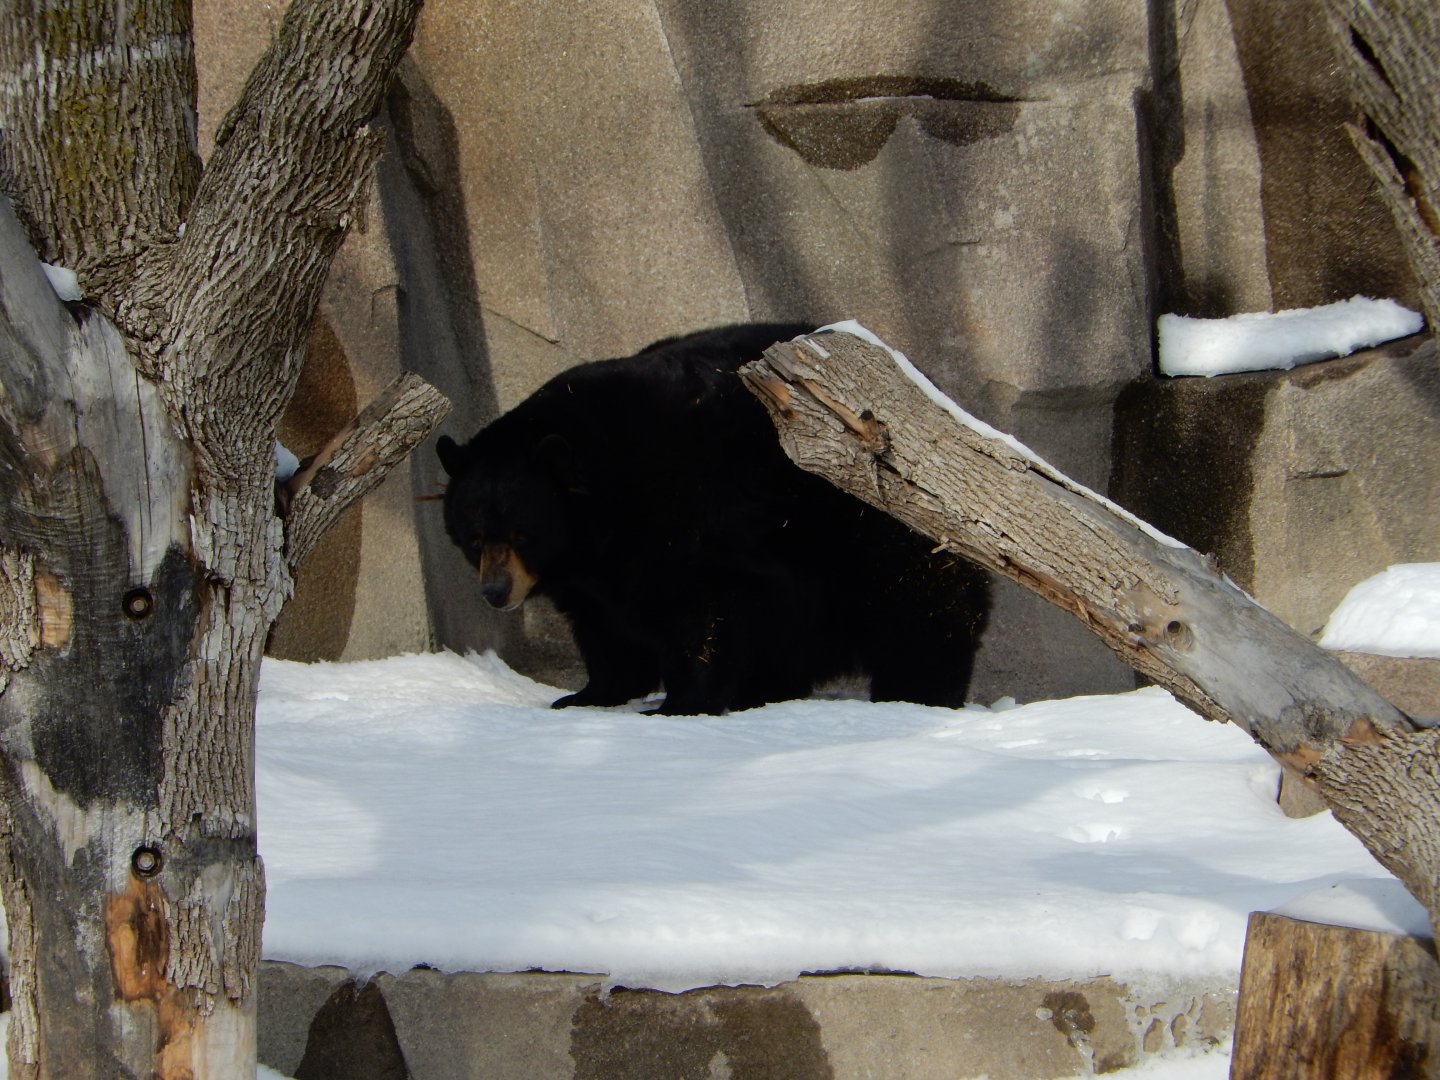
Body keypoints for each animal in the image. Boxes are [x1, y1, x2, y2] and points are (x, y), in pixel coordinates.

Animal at [436, 322, 989, 715]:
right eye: (473, 537)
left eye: (522, 532)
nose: (496, 592)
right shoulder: (591, 568)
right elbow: (603, 624)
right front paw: (586, 694)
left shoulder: (691, 510)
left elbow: (701, 607)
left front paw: (678, 704)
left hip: (875, 521)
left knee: (918, 606)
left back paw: (917, 691)